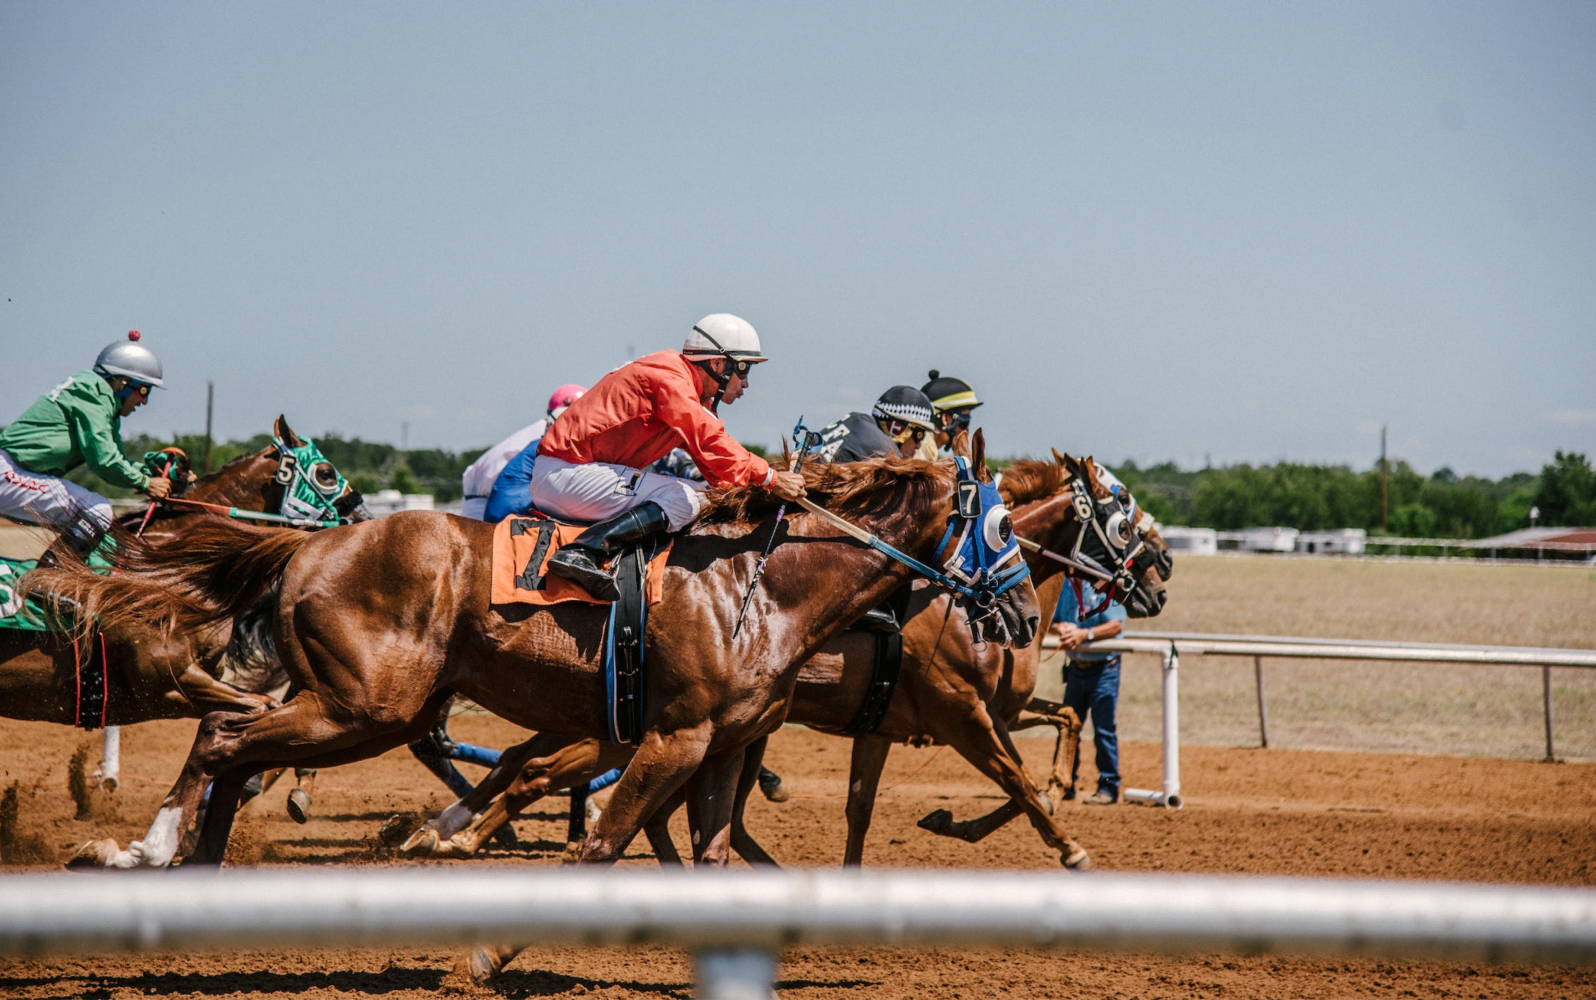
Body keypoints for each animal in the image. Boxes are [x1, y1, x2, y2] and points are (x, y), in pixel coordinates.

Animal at [32, 432, 1039, 881]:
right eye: (1001, 527)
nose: (1029, 614)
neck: (760, 586)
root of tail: (312, 544)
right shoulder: (671, 737)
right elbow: (597, 839)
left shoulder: (719, 746)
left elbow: (708, 851)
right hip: (366, 706)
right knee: (226, 740)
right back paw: (152, 847)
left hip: (362, 706)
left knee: (235, 746)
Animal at [401, 451, 1169, 870]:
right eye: (1124, 513)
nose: (1160, 578)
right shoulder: (959, 710)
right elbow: (1019, 782)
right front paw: (1065, 844)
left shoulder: (901, 723)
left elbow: (869, 806)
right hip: (628, 726)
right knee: (541, 772)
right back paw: (454, 836)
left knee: (545, 770)